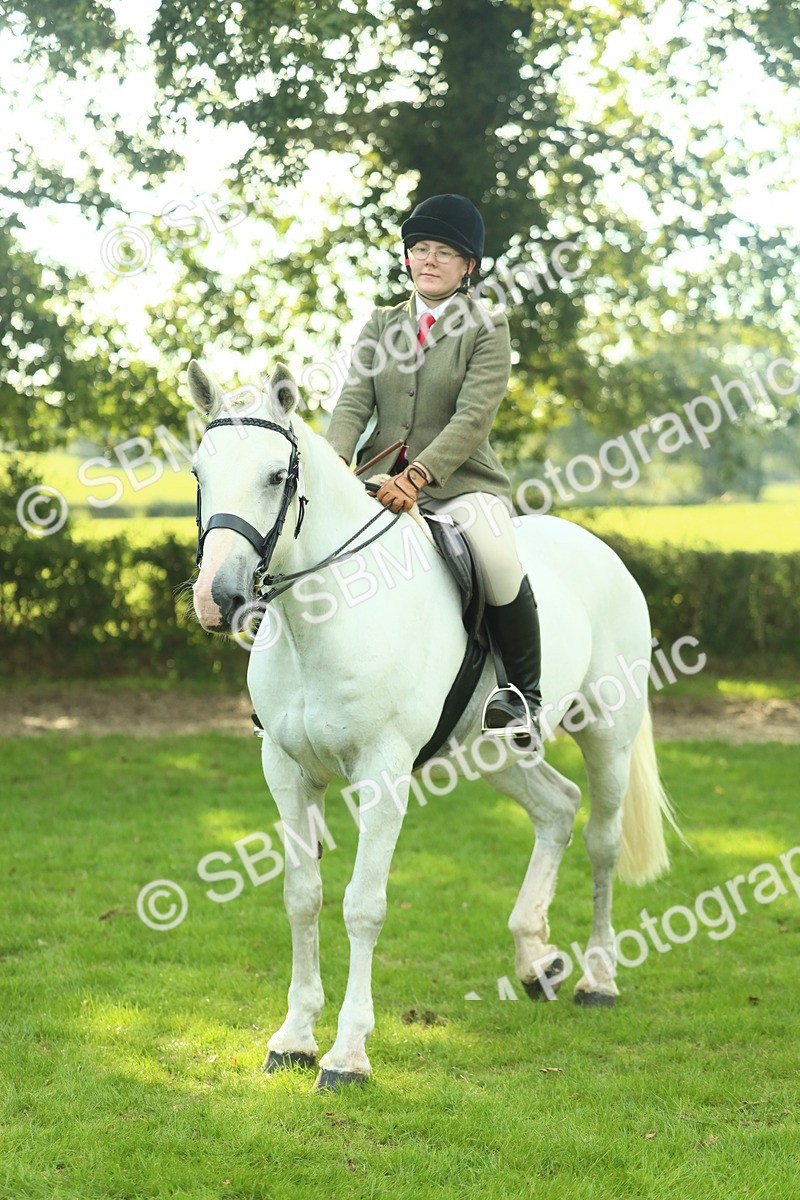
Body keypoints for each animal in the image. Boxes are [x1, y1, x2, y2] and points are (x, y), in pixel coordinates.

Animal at [187, 358, 677, 1092]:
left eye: (276, 476)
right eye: (198, 472)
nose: (219, 600)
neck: (323, 616)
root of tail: (601, 551)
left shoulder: (383, 773)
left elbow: (363, 905)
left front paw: (347, 1055)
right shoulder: (287, 772)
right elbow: (303, 897)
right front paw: (293, 1038)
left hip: (607, 735)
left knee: (601, 840)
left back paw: (598, 978)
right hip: (494, 752)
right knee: (557, 808)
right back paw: (537, 961)